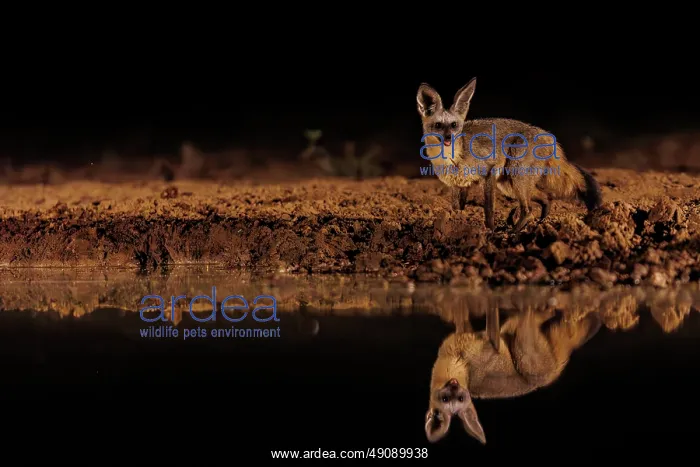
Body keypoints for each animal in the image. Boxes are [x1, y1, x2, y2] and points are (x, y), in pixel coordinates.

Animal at [417, 78, 603, 232]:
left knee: (528, 210)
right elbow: (457, 210)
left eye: (454, 125)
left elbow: (489, 210)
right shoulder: (459, 185)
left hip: (515, 177)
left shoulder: (489, 173)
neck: (452, 160)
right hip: (509, 185)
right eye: (438, 125)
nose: (449, 138)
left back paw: (513, 233)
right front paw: (456, 225)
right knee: (546, 198)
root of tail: (548, 136)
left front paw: (489, 232)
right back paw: (540, 223)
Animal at [425, 306, 602, 444]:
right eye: (446, 399)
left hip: (515, 335)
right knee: (539, 318)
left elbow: (475, 321)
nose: (454, 385)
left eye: (460, 398)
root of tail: (553, 372)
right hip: (523, 344)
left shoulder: (482, 340)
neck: (457, 361)